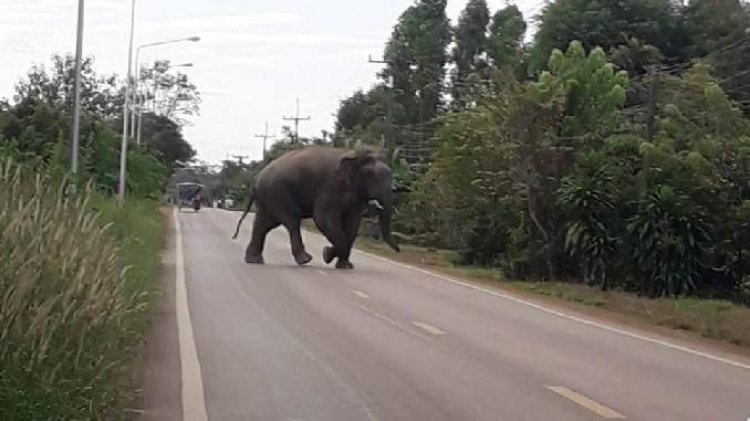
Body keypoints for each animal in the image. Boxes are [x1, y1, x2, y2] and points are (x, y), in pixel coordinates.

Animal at [232, 146, 402, 268]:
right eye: (374, 178)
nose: (399, 250)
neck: (355, 154)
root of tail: (255, 181)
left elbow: (353, 223)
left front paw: (344, 266)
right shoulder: (329, 185)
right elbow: (322, 218)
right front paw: (327, 255)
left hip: (268, 196)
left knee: (264, 224)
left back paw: (254, 261)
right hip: (276, 192)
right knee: (291, 219)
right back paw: (305, 260)